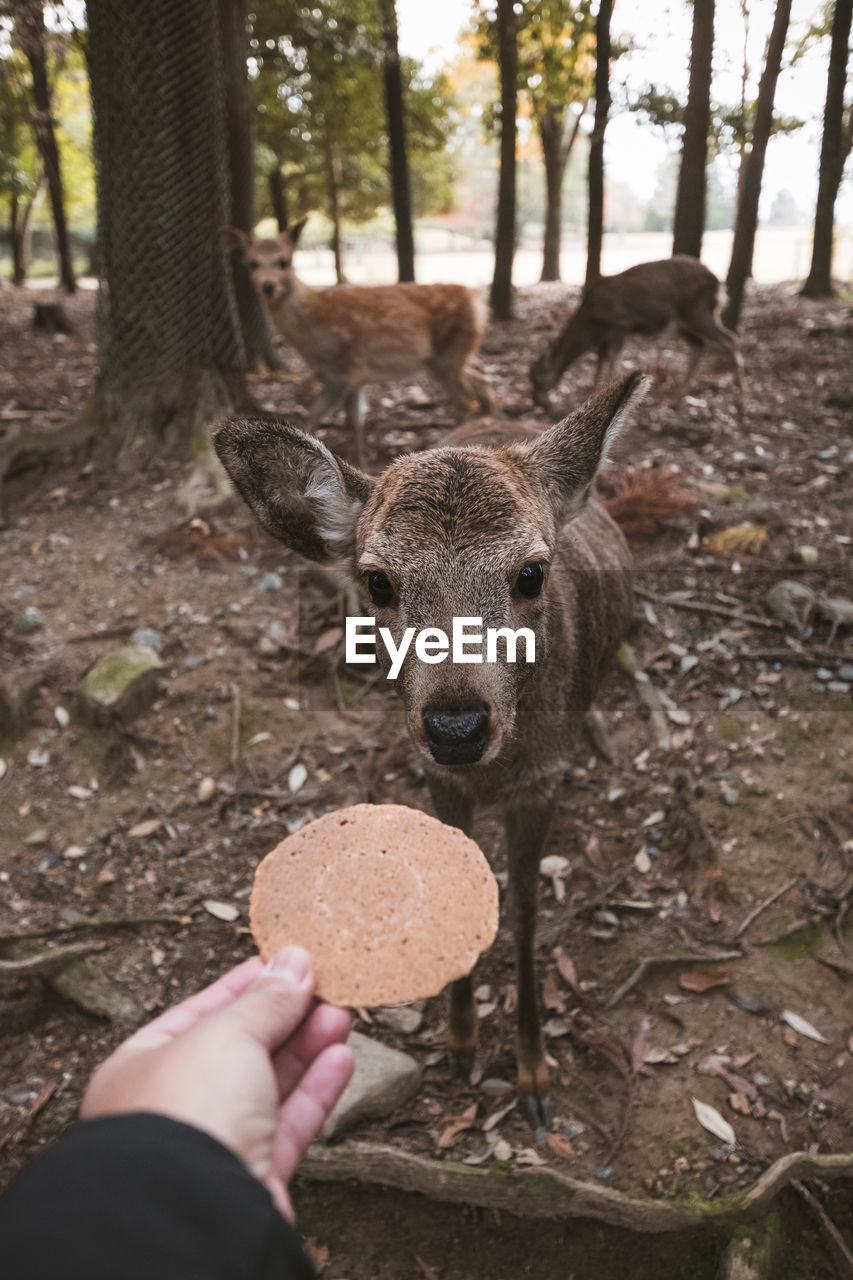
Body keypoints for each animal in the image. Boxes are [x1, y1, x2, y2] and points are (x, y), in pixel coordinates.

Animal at [213, 373, 645, 1141]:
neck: (495, 771)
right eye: (377, 581)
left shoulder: (542, 781)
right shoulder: (436, 778)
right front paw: (461, 1040)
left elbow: (526, 905)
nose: (455, 726)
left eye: (531, 572)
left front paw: (533, 1076)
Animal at [527, 250, 742, 407]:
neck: (593, 321)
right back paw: (678, 399)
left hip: (696, 310)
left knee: (730, 339)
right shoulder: (606, 333)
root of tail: (718, 284)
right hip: (682, 323)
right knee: (699, 345)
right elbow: (600, 359)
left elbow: (611, 357)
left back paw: (740, 401)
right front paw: (591, 393)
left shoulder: (618, 324)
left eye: (538, 375)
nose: (536, 399)